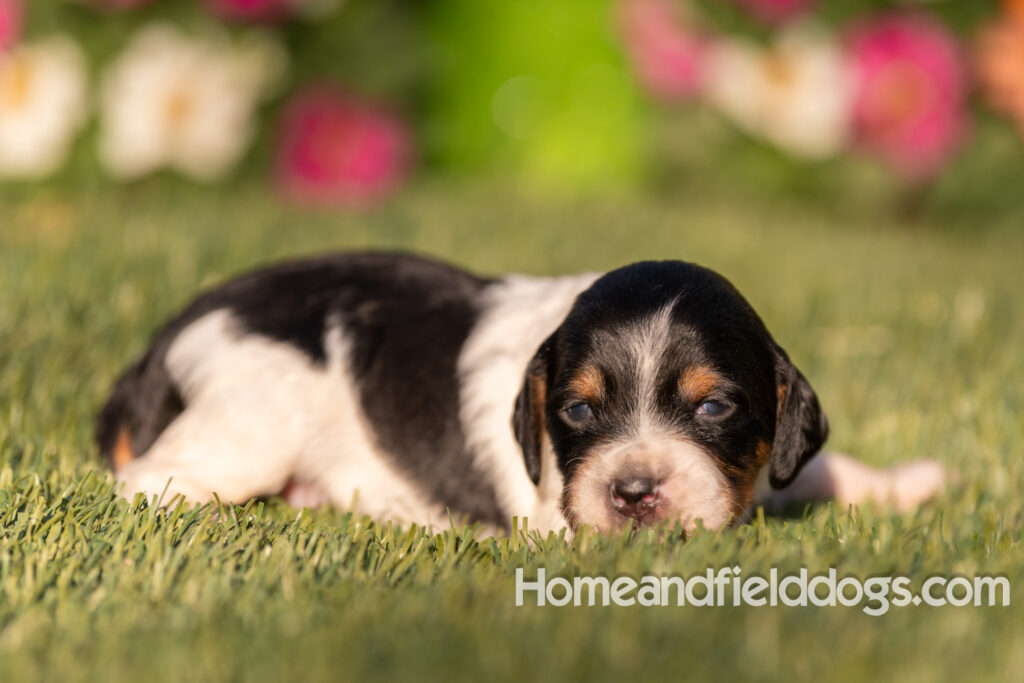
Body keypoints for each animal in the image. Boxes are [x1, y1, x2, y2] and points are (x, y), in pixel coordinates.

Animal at [96, 252, 942, 532]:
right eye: (577, 410)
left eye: (713, 406)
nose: (634, 492)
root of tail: (164, 340)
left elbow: (823, 466)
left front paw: (911, 482)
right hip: (252, 424)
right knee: (148, 481)